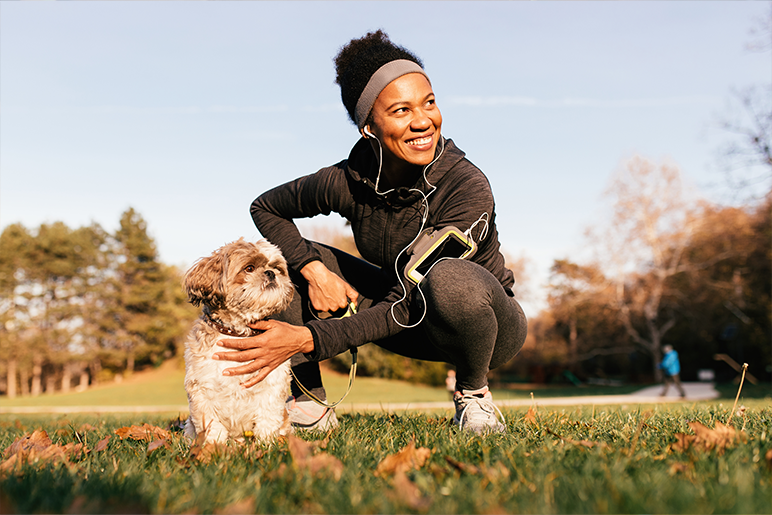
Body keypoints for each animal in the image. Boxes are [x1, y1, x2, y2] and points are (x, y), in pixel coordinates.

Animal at [181, 238, 296, 444]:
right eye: (249, 268)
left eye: (277, 267)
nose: (271, 273)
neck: (236, 333)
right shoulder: (201, 390)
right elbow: (211, 426)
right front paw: (214, 447)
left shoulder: (272, 386)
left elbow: (267, 419)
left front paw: (266, 444)